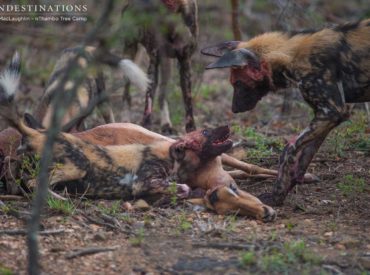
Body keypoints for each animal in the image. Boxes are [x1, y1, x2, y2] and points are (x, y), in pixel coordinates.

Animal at [202, 19, 370, 206]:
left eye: (237, 83)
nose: (234, 109)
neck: (293, 55)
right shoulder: (327, 115)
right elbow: (304, 157)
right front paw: (285, 190)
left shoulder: (332, 111)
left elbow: (288, 150)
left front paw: (275, 195)